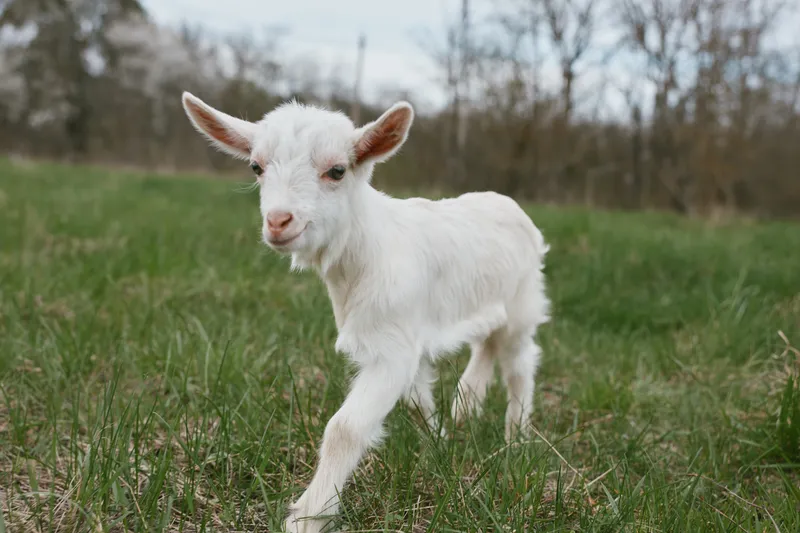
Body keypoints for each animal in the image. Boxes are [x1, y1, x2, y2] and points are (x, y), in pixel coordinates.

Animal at [181, 92, 551, 533]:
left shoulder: (393, 346)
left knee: (519, 363)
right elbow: (415, 397)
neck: (363, 249)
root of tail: (510, 205)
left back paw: (517, 439)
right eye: (256, 167)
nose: (278, 221)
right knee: (486, 351)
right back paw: (465, 413)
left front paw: (309, 515)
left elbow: (345, 428)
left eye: (337, 170)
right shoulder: (402, 337)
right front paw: (436, 442)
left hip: (523, 303)